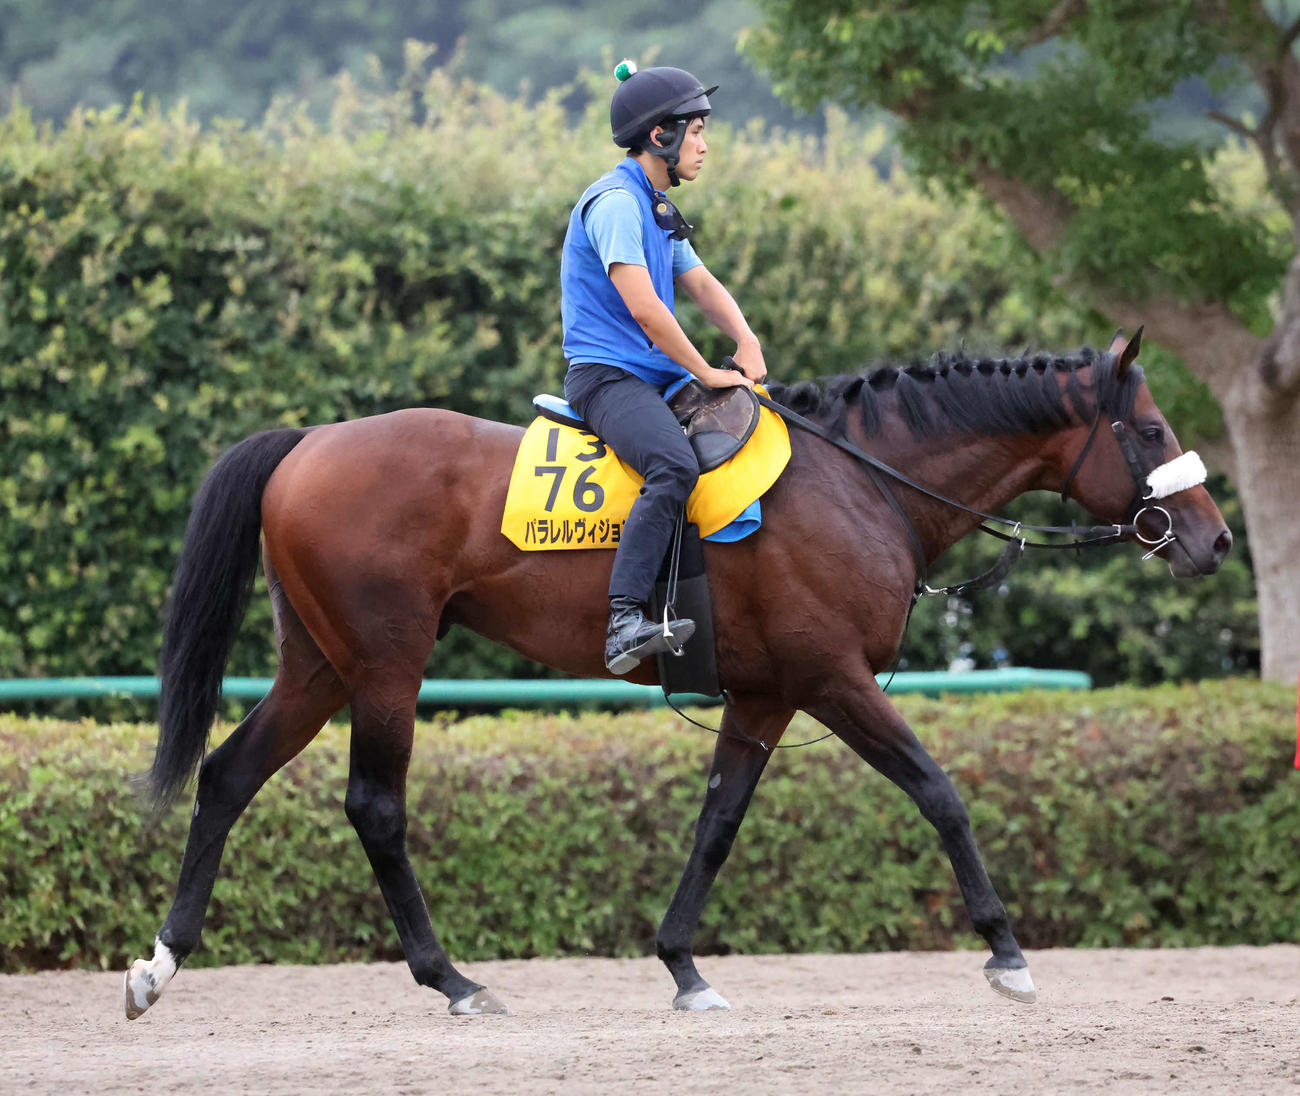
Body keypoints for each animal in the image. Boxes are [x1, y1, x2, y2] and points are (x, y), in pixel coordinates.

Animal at [124, 331, 1231, 1019]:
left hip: (319, 667)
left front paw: (683, 964)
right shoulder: (835, 682)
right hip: (388, 666)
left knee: (227, 775)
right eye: (1149, 431)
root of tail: (308, 441)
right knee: (375, 808)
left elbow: (717, 824)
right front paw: (1004, 951)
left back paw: (161, 961)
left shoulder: (767, 697)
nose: (1213, 540)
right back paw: (453, 979)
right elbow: (940, 793)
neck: (860, 480)